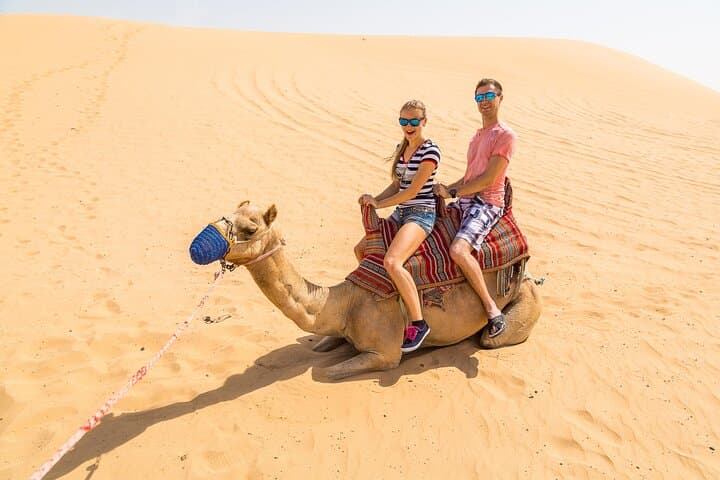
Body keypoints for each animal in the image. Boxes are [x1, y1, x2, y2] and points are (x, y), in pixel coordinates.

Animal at [222, 201, 542, 380]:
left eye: (250, 229)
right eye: (228, 215)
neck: (344, 303)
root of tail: (529, 276)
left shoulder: (385, 354)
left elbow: (323, 371)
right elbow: (320, 345)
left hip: (519, 307)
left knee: (490, 338)